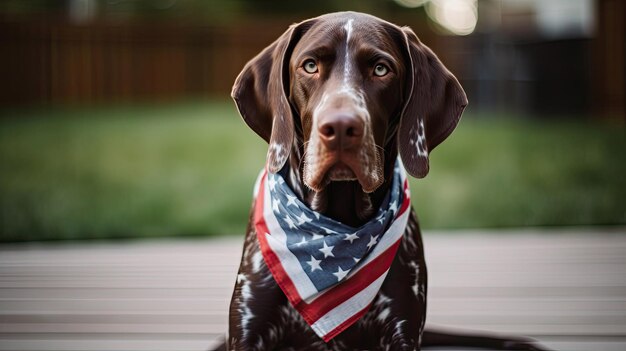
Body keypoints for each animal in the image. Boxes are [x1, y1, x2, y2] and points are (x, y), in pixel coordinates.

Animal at [218, 11, 544, 351]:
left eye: (380, 69)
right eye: (309, 65)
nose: (340, 127)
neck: (337, 225)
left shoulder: (403, 327)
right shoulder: (248, 327)